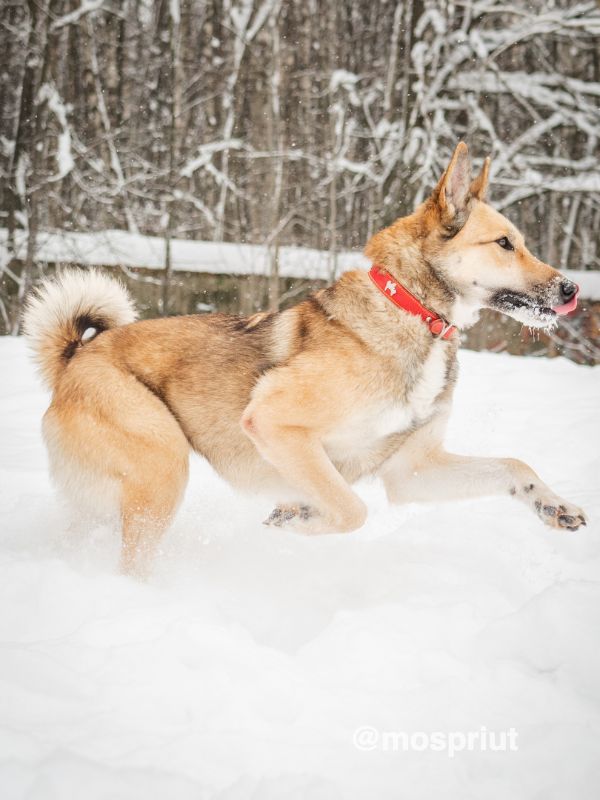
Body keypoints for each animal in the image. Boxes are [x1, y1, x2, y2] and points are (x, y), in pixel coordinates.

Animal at [23, 142, 584, 576]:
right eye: (505, 243)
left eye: (522, 242)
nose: (571, 289)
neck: (412, 311)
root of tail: (75, 357)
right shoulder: (274, 423)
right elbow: (352, 509)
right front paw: (299, 516)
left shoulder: (412, 470)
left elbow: (513, 464)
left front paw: (553, 505)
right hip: (161, 464)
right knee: (132, 560)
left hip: (113, 494)